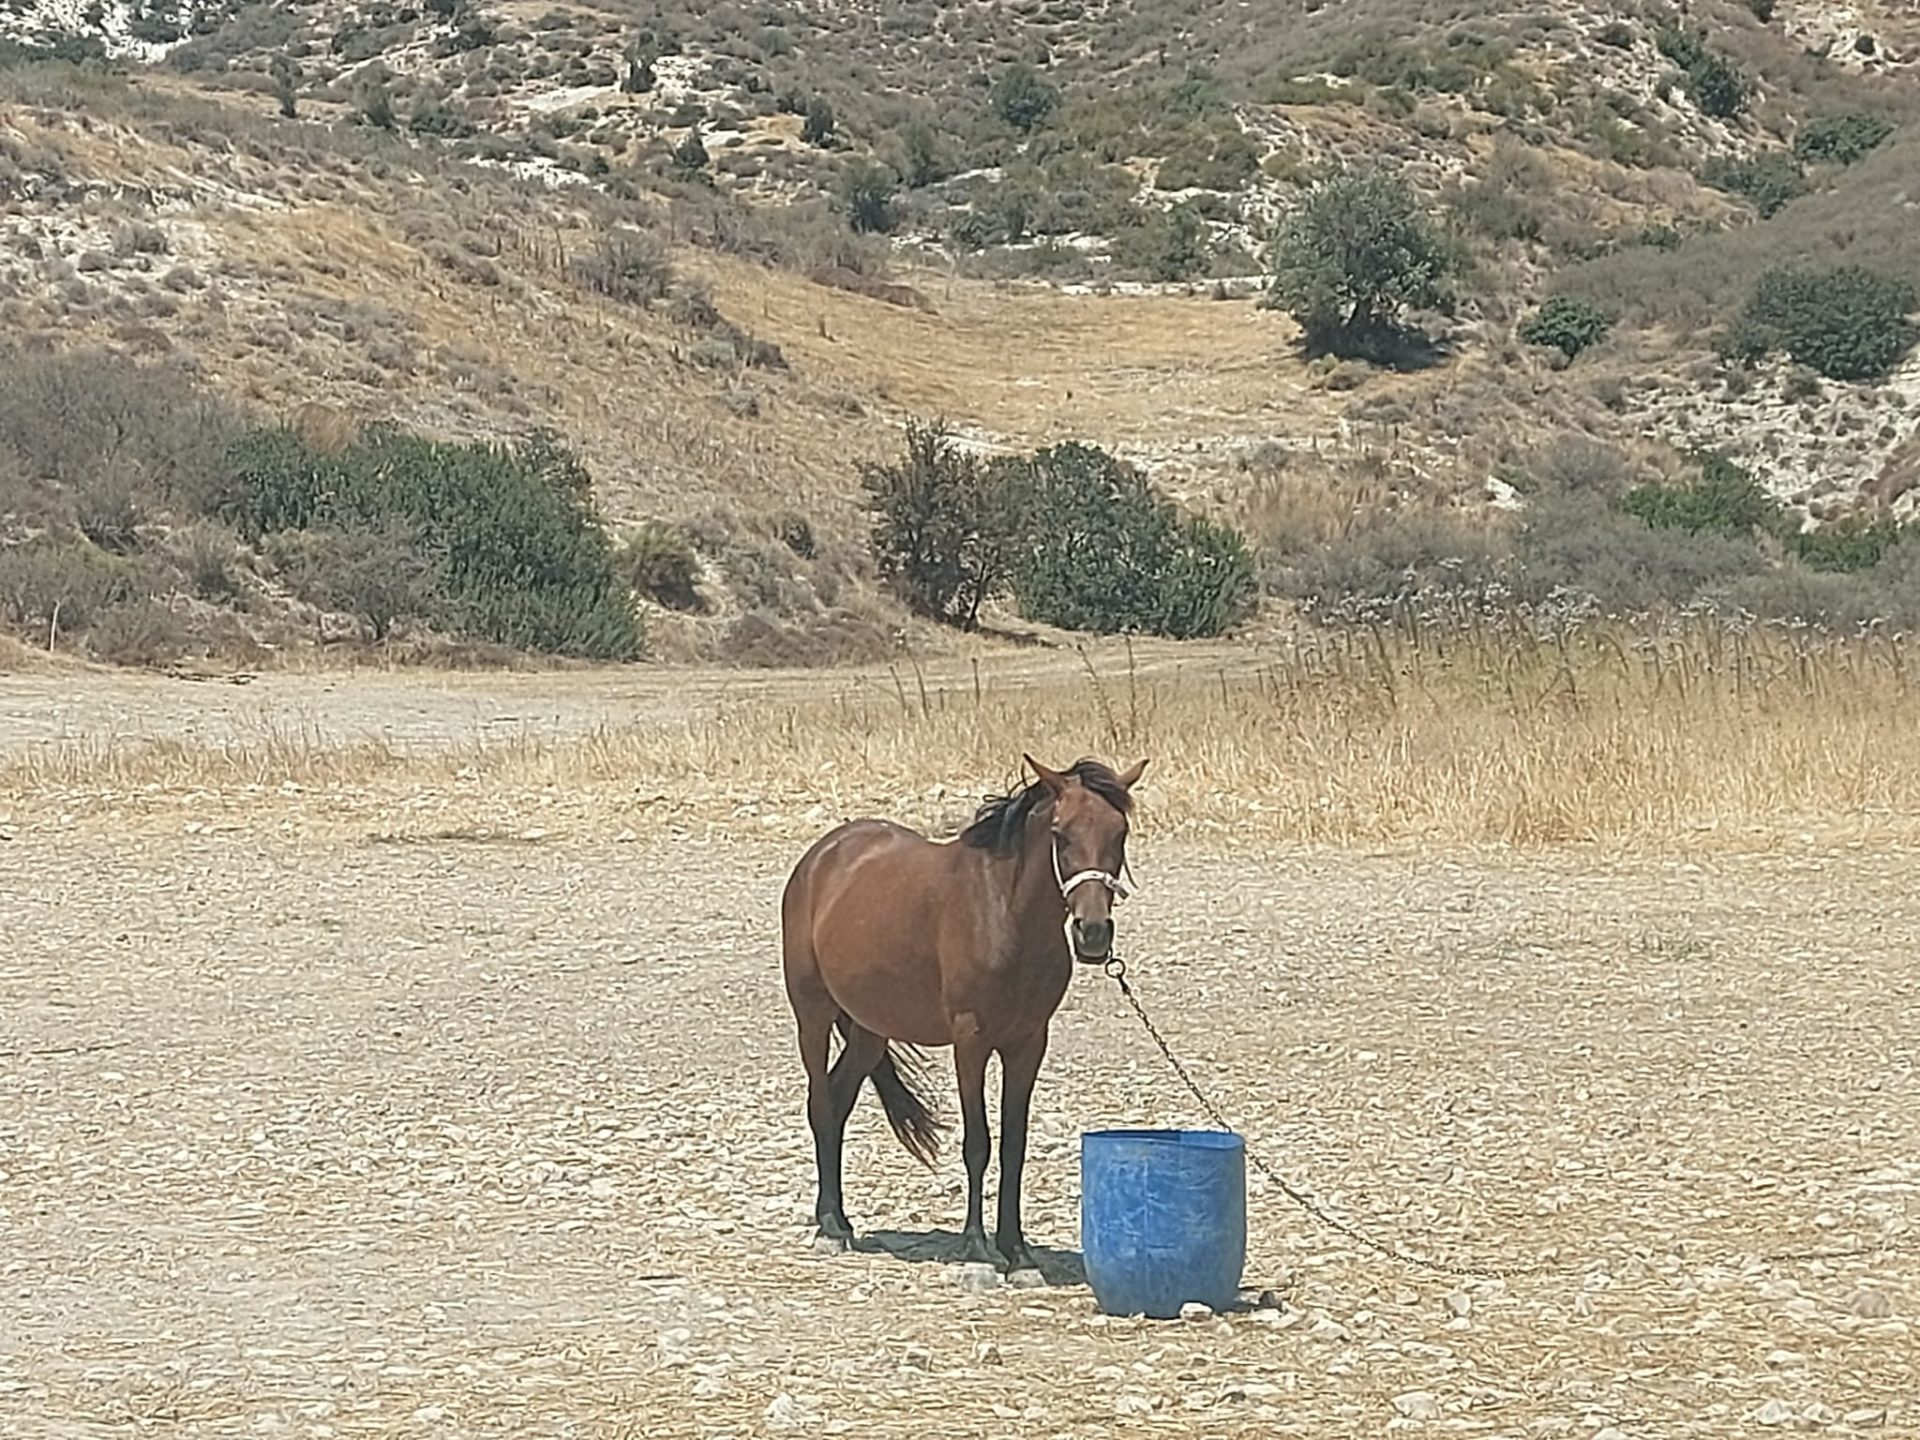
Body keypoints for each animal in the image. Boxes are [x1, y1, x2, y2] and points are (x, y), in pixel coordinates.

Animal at [780, 753, 1147, 1275]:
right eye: (1061, 833)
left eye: (1120, 833)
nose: (1093, 933)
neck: (1005, 914)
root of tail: (822, 855)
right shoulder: (970, 1040)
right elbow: (978, 1143)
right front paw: (977, 1246)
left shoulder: (1028, 1044)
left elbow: (1014, 1144)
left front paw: (1017, 1250)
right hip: (812, 1015)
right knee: (820, 1104)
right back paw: (830, 1225)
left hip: (870, 1030)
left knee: (838, 1101)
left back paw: (840, 1220)